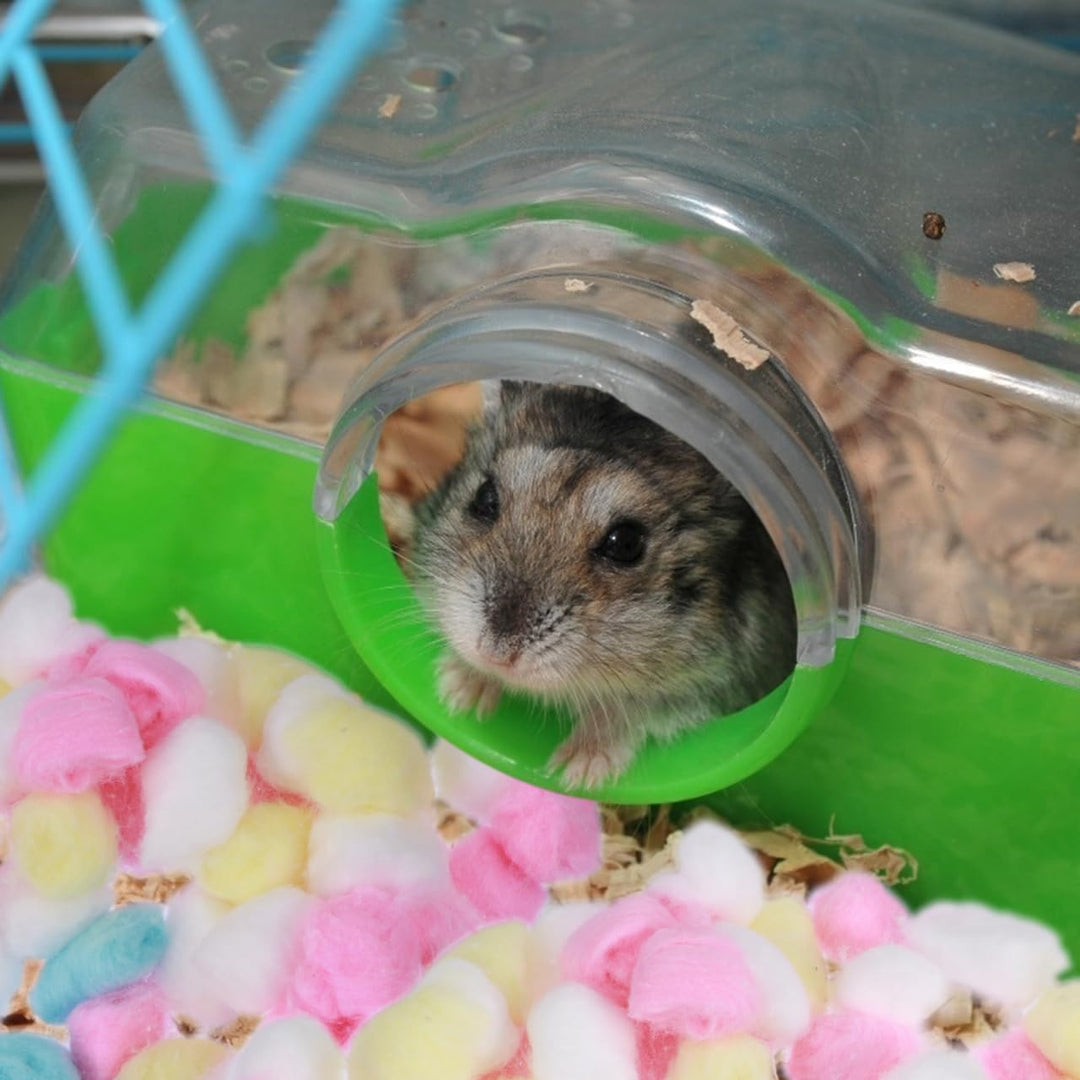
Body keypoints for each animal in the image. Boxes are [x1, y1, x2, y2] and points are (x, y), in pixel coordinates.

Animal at [410, 380, 797, 788]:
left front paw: (574, 771)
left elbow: (631, 710)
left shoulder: (714, 688)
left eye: (626, 543)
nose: (495, 654)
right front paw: (457, 694)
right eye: (484, 497)